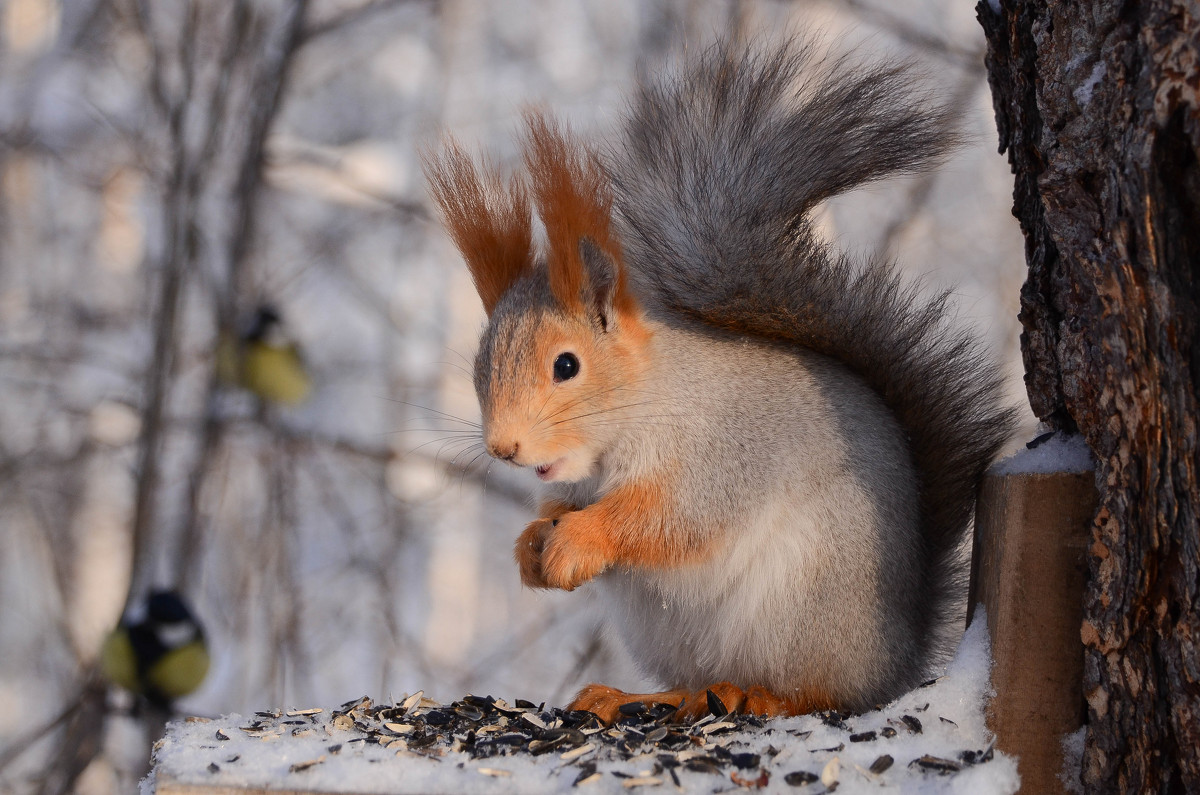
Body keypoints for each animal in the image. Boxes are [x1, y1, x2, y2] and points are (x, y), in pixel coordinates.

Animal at [422, 37, 1012, 725]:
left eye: (566, 365)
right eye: (478, 364)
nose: (503, 448)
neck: (646, 405)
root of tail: (898, 657)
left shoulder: (721, 457)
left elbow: (671, 521)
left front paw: (578, 542)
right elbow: (561, 509)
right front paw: (532, 544)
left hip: (801, 606)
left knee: (820, 692)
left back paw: (758, 695)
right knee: (693, 682)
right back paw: (631, 695)